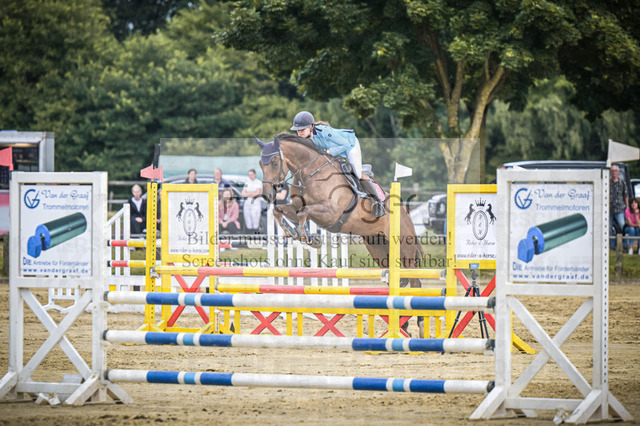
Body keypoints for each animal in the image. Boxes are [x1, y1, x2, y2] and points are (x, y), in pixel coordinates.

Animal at [256, 133, 427, 334]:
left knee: (415, 283)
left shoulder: (330, 213)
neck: (309, 173)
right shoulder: (297, 206)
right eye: (260, 163)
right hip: (379, 249)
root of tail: (405, 211)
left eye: (275, 163)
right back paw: (403, 325)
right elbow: (280, 211)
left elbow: (304, 212)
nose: (267, 195)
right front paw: (293, 231)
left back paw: (420, 326)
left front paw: (309, 238)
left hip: (404, 250)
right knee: (399, 281)